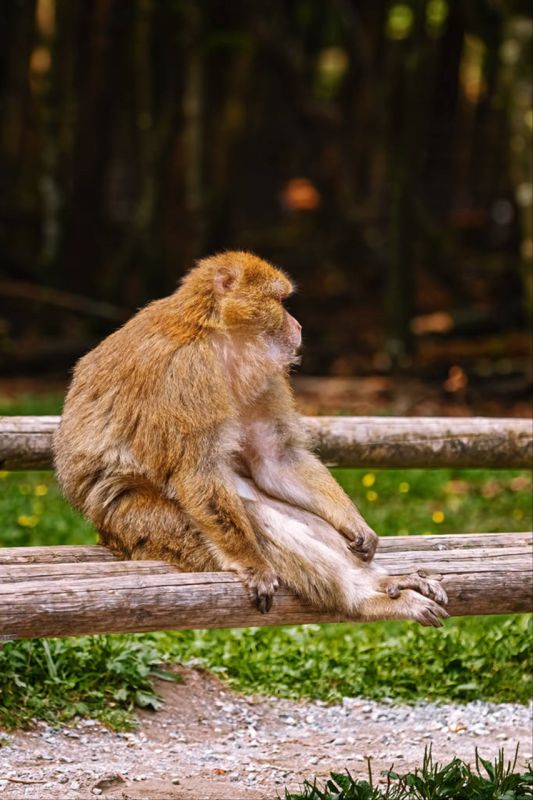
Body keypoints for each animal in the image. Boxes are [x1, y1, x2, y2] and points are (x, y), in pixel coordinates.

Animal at [54, 250, 446, 624]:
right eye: (281, 302)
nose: (298, 324)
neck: (215, 334)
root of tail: (107, 537)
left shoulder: (265, 374)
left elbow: (275, 460)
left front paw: (353, 523)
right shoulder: (187, 372)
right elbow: (197, 472)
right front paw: (252, 564)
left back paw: (387, 582)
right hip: (142, 525)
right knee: (248, 517)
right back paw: (364, 599)